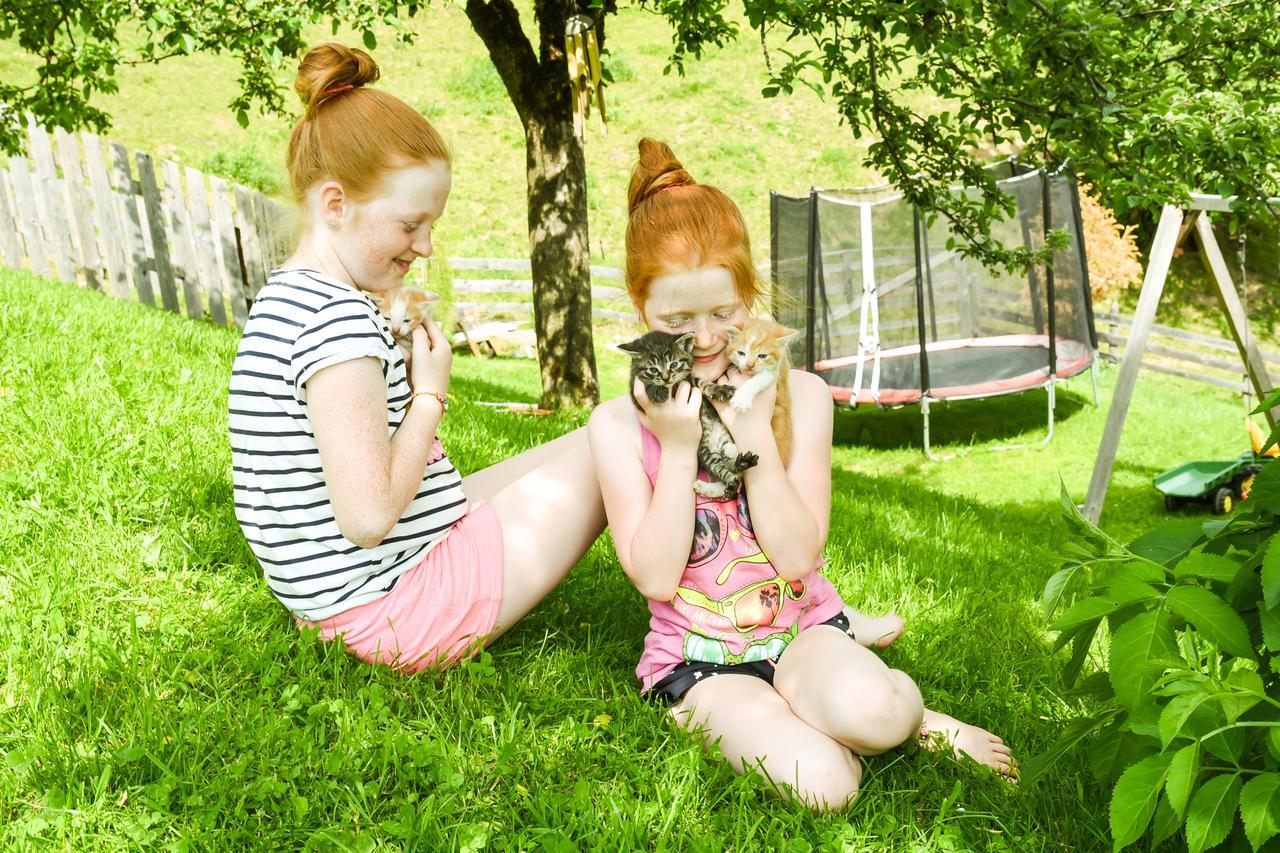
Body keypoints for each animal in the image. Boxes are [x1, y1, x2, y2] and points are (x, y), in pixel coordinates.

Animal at [619, 326, 757, 499]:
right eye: (653, 369)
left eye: (673, 365)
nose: (665, 378)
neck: (672, 386)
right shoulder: (635, 391)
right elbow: (646, 385)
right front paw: (657, 392)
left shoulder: (689, 379)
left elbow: (702, 382)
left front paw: (719, 389)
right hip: (704, 451)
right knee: (721, 466)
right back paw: (734, 474)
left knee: (727, 464)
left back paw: (740, 464)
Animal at [727, 317, 793, 461]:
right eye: (741, 353)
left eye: (762, 356)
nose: (749, 365)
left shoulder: (775, 372)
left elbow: (759, 379)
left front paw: (742, 400)